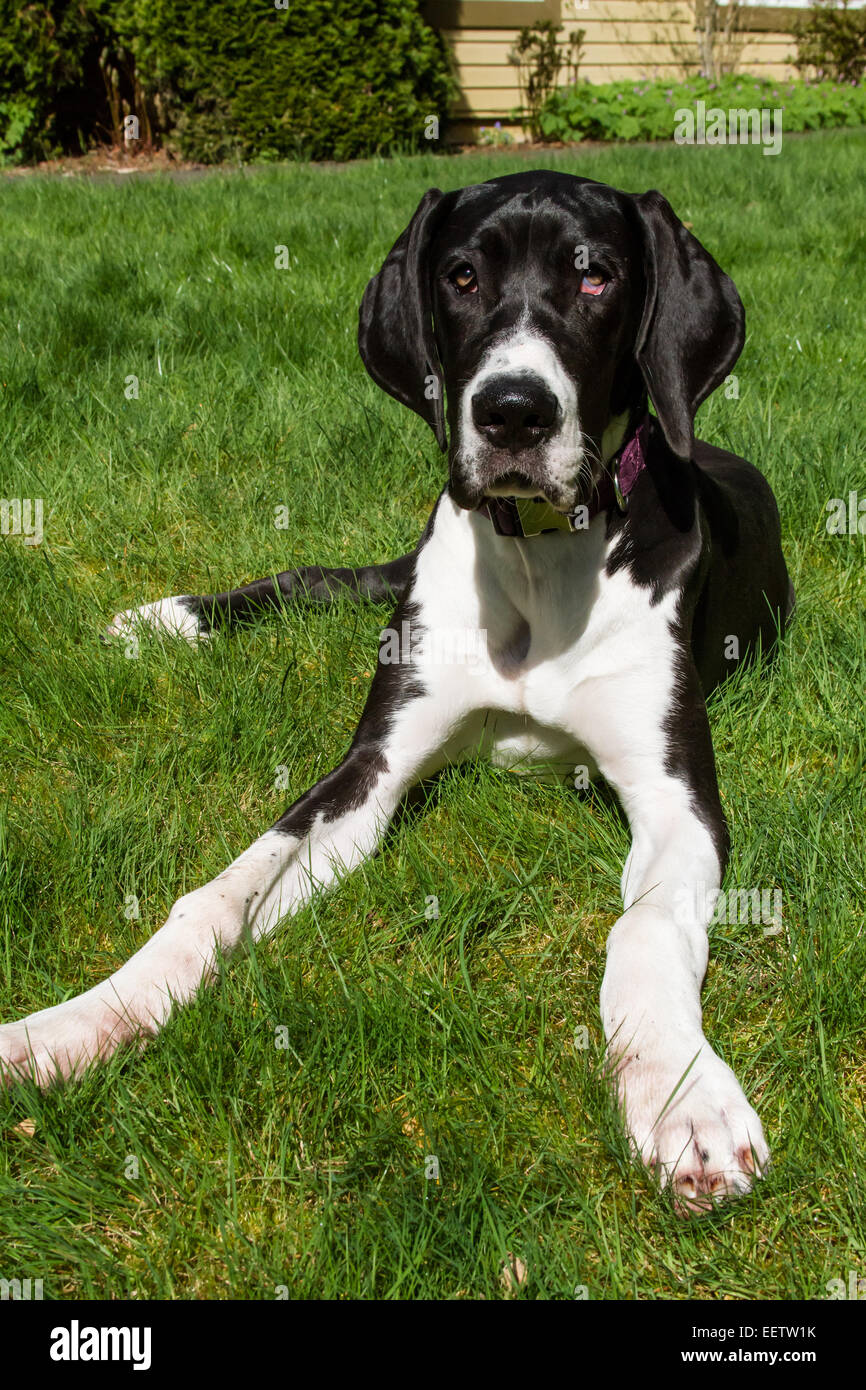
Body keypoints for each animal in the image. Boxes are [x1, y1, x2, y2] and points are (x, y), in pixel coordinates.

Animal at [0, 176, 795, 1217]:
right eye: (461, 276)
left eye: (597, 277)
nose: (511, 413)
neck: (541, 562)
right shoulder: (369, 770)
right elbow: (215, 898)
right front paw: (74, 1023)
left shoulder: (680, 801)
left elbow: (646, 929)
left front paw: (683, 1099)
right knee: (316, 575)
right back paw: (165, 618)